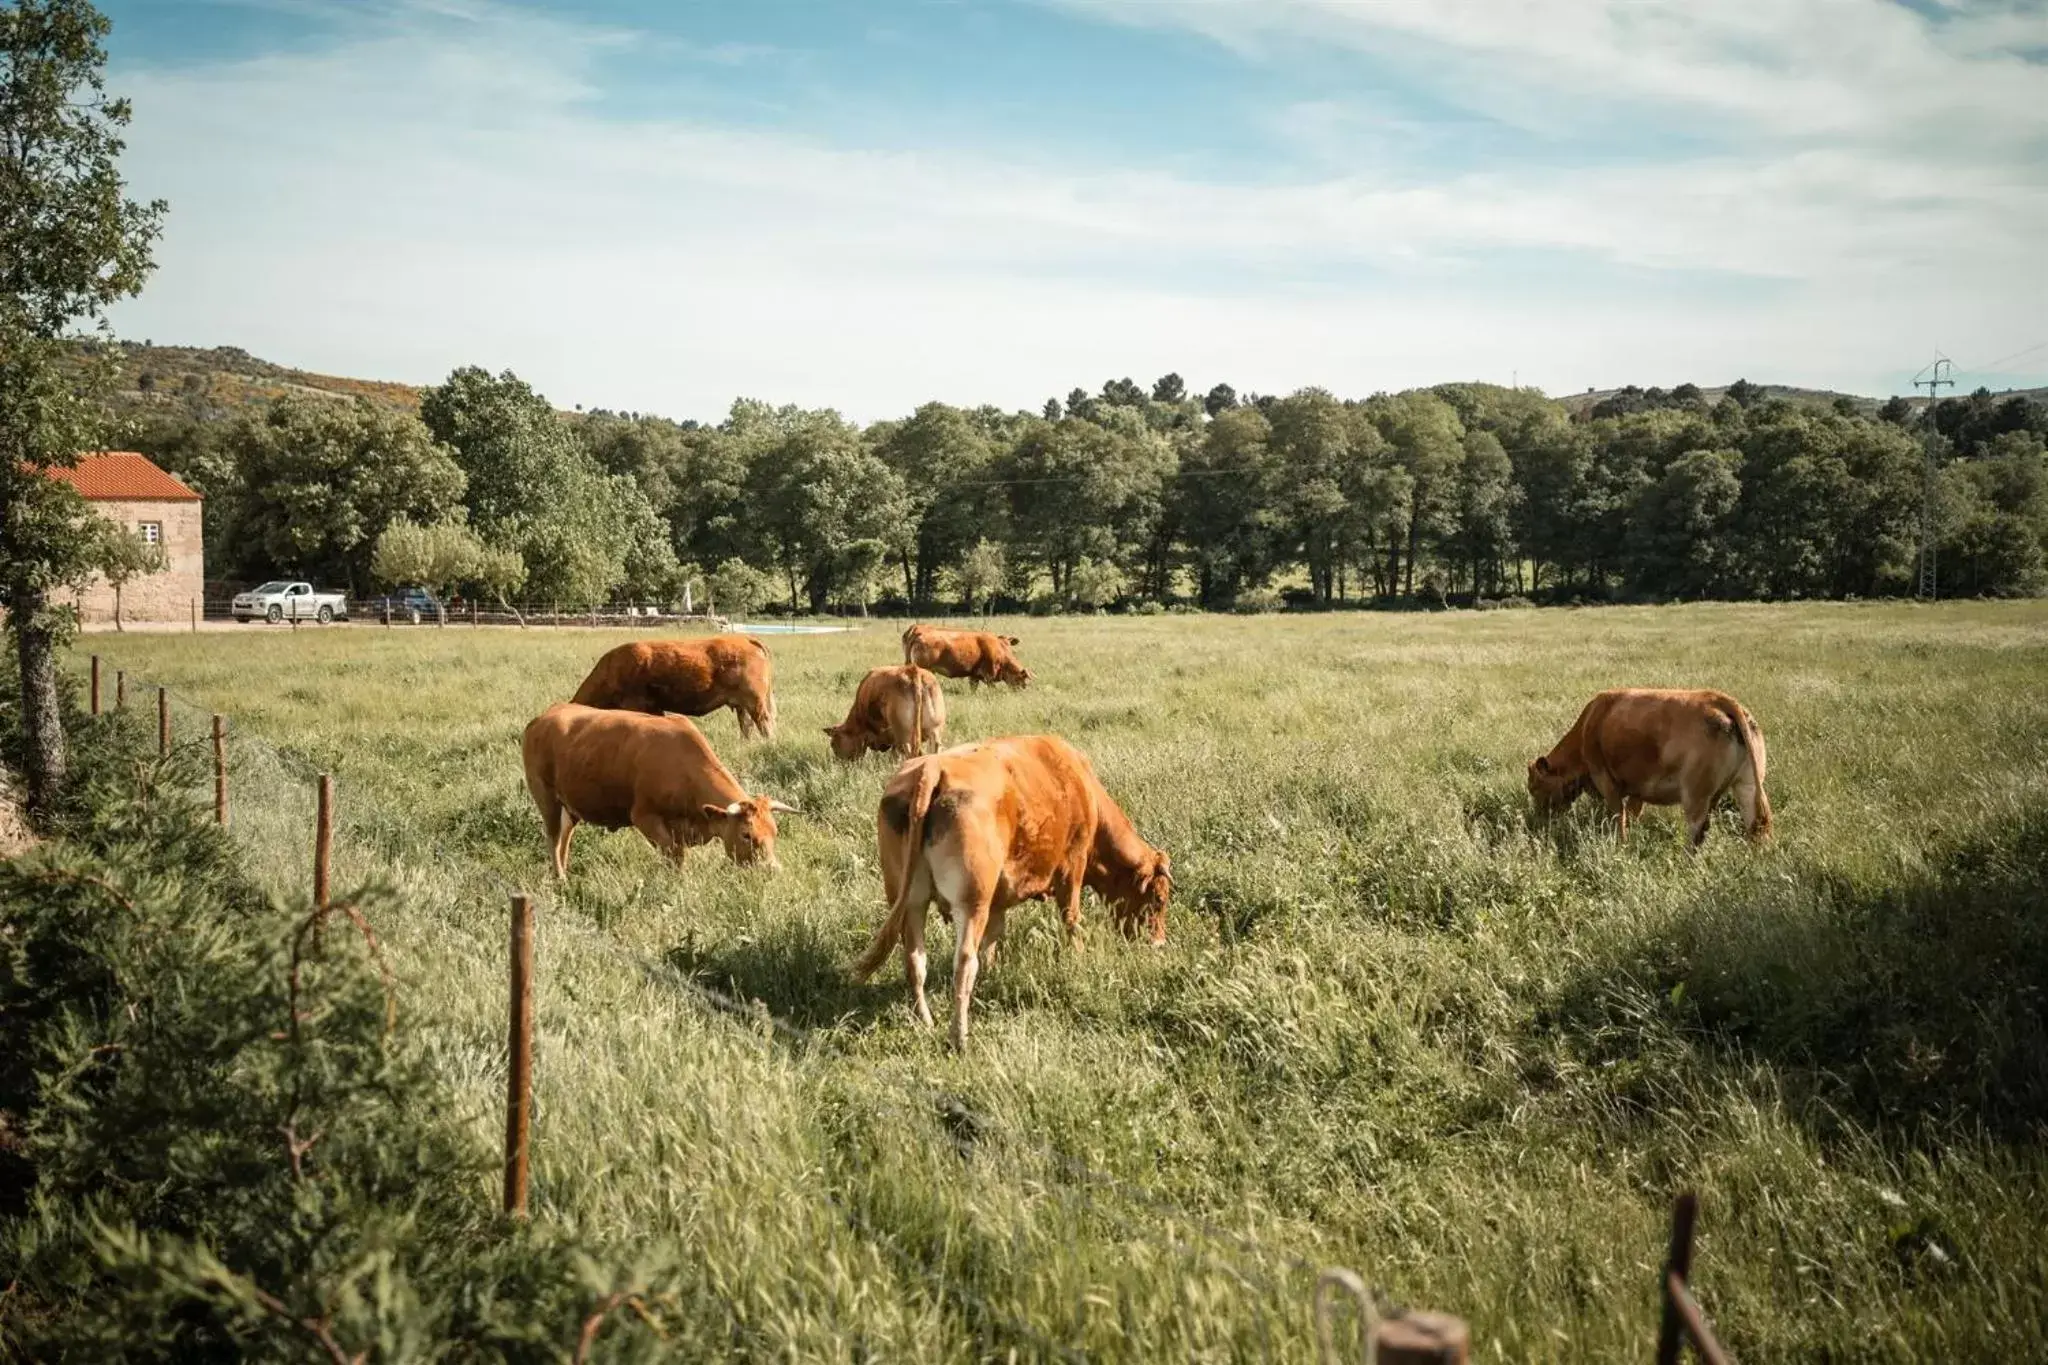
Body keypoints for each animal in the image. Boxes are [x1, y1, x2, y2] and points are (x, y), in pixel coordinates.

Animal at [524, 699, 794, 879]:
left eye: (774, 831)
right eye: (746, 834)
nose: (773, 870)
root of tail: (544, 717)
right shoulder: (645, 818)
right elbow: (673, 856)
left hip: (569, 806)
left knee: (565, 836)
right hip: (546, 798)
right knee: (554, 839)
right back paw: (560, 878)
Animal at [573, 638, 778, 740]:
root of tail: (745, 638)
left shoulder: (636, 704)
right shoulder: (655, 707)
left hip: (755, 701)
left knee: (765, 723)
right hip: (743, 704)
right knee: (747, 726)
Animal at [847, 736, 1171, 1047]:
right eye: (1159, 899)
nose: (1158, 944)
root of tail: (933, 768)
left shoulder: (998, 901)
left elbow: (992, 938)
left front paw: (991, 972)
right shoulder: (1073, 867)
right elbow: (1071, 920)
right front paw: (1078, 956)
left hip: (912, 901)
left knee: (915, 960)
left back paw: (925, 1021)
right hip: (971, 901)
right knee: (964, 962)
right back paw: (959, 1036)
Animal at [901, 630, 1032, 695]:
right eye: (1023, 679)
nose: (1023, 690)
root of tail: (920, 633)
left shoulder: (974, 675)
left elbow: (973, 688)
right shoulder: (989, 676)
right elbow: (992, 688)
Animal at [1531, 687, 1769, 847]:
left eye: (1534, 788)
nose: (1537, 818)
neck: (1588, 726)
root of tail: (1718, 699)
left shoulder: (1604, 779)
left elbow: (1619, 816)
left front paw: (1621, 845)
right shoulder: (1639, 789)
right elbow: (1632, 813)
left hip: (1696, 795)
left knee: (1698, 831)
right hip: (1748, 786)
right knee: (1758, 825)